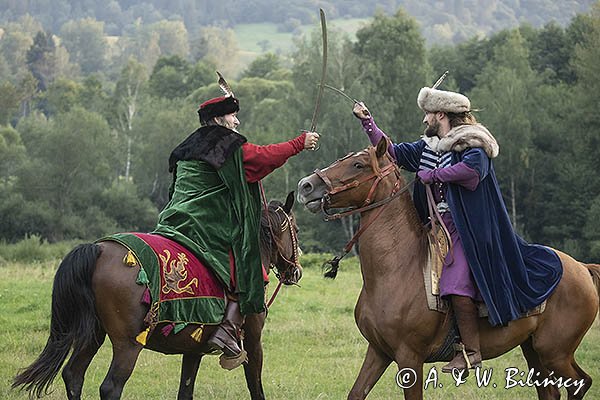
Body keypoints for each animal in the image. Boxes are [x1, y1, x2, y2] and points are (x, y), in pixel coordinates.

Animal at [12, 192, 304, 398]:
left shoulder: (193, 349)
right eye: (297, 230)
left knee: (73, 375)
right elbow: (255, 386)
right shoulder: (253, 341)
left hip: (93, 333)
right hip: (128, 344)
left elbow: (185, 390)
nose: (296, 271)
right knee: (110, 387)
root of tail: (99, 249)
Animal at [298, 138, 600, 400]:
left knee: (581, 383)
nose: (306, 185)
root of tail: (582, 268)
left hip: (555, 352)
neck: (396, 270)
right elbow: (356, 392)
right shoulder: (379, 351)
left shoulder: (409, 357)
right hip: (534, 349)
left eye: (358, 164)